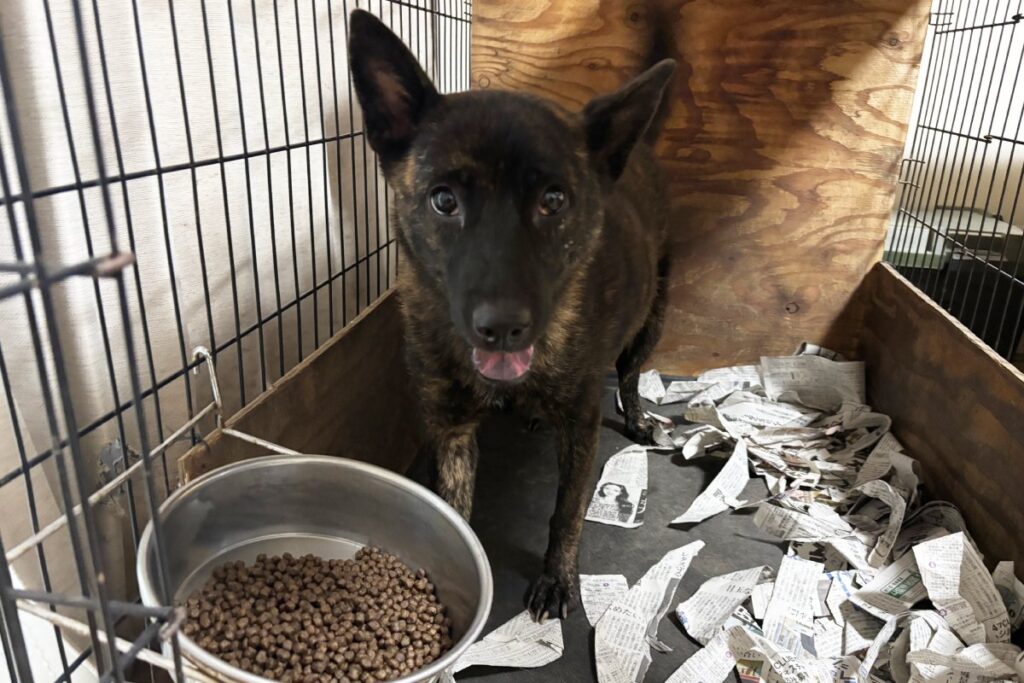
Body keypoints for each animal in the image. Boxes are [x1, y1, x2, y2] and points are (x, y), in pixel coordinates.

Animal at [348, 9, 675, 621]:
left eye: (554, 200)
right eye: (443, 200)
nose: (502, 328)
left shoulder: (582, 425)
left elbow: (567, 513)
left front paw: (558, 579)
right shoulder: (449, 429)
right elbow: (453, 510)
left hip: (653, 318)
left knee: (631, 373)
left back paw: (639, 415)